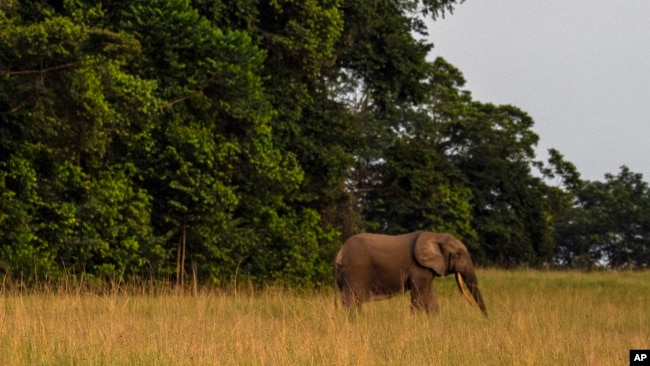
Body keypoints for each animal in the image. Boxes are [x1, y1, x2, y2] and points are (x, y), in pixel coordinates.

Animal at [334, 233, 486, 316]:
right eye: (458, 254)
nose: (486, 319)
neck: (436, 236)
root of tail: (339, 254)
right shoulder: (419, 268)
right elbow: (419, 295)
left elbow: (431, 296)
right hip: (355, 273)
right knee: (352, 301)